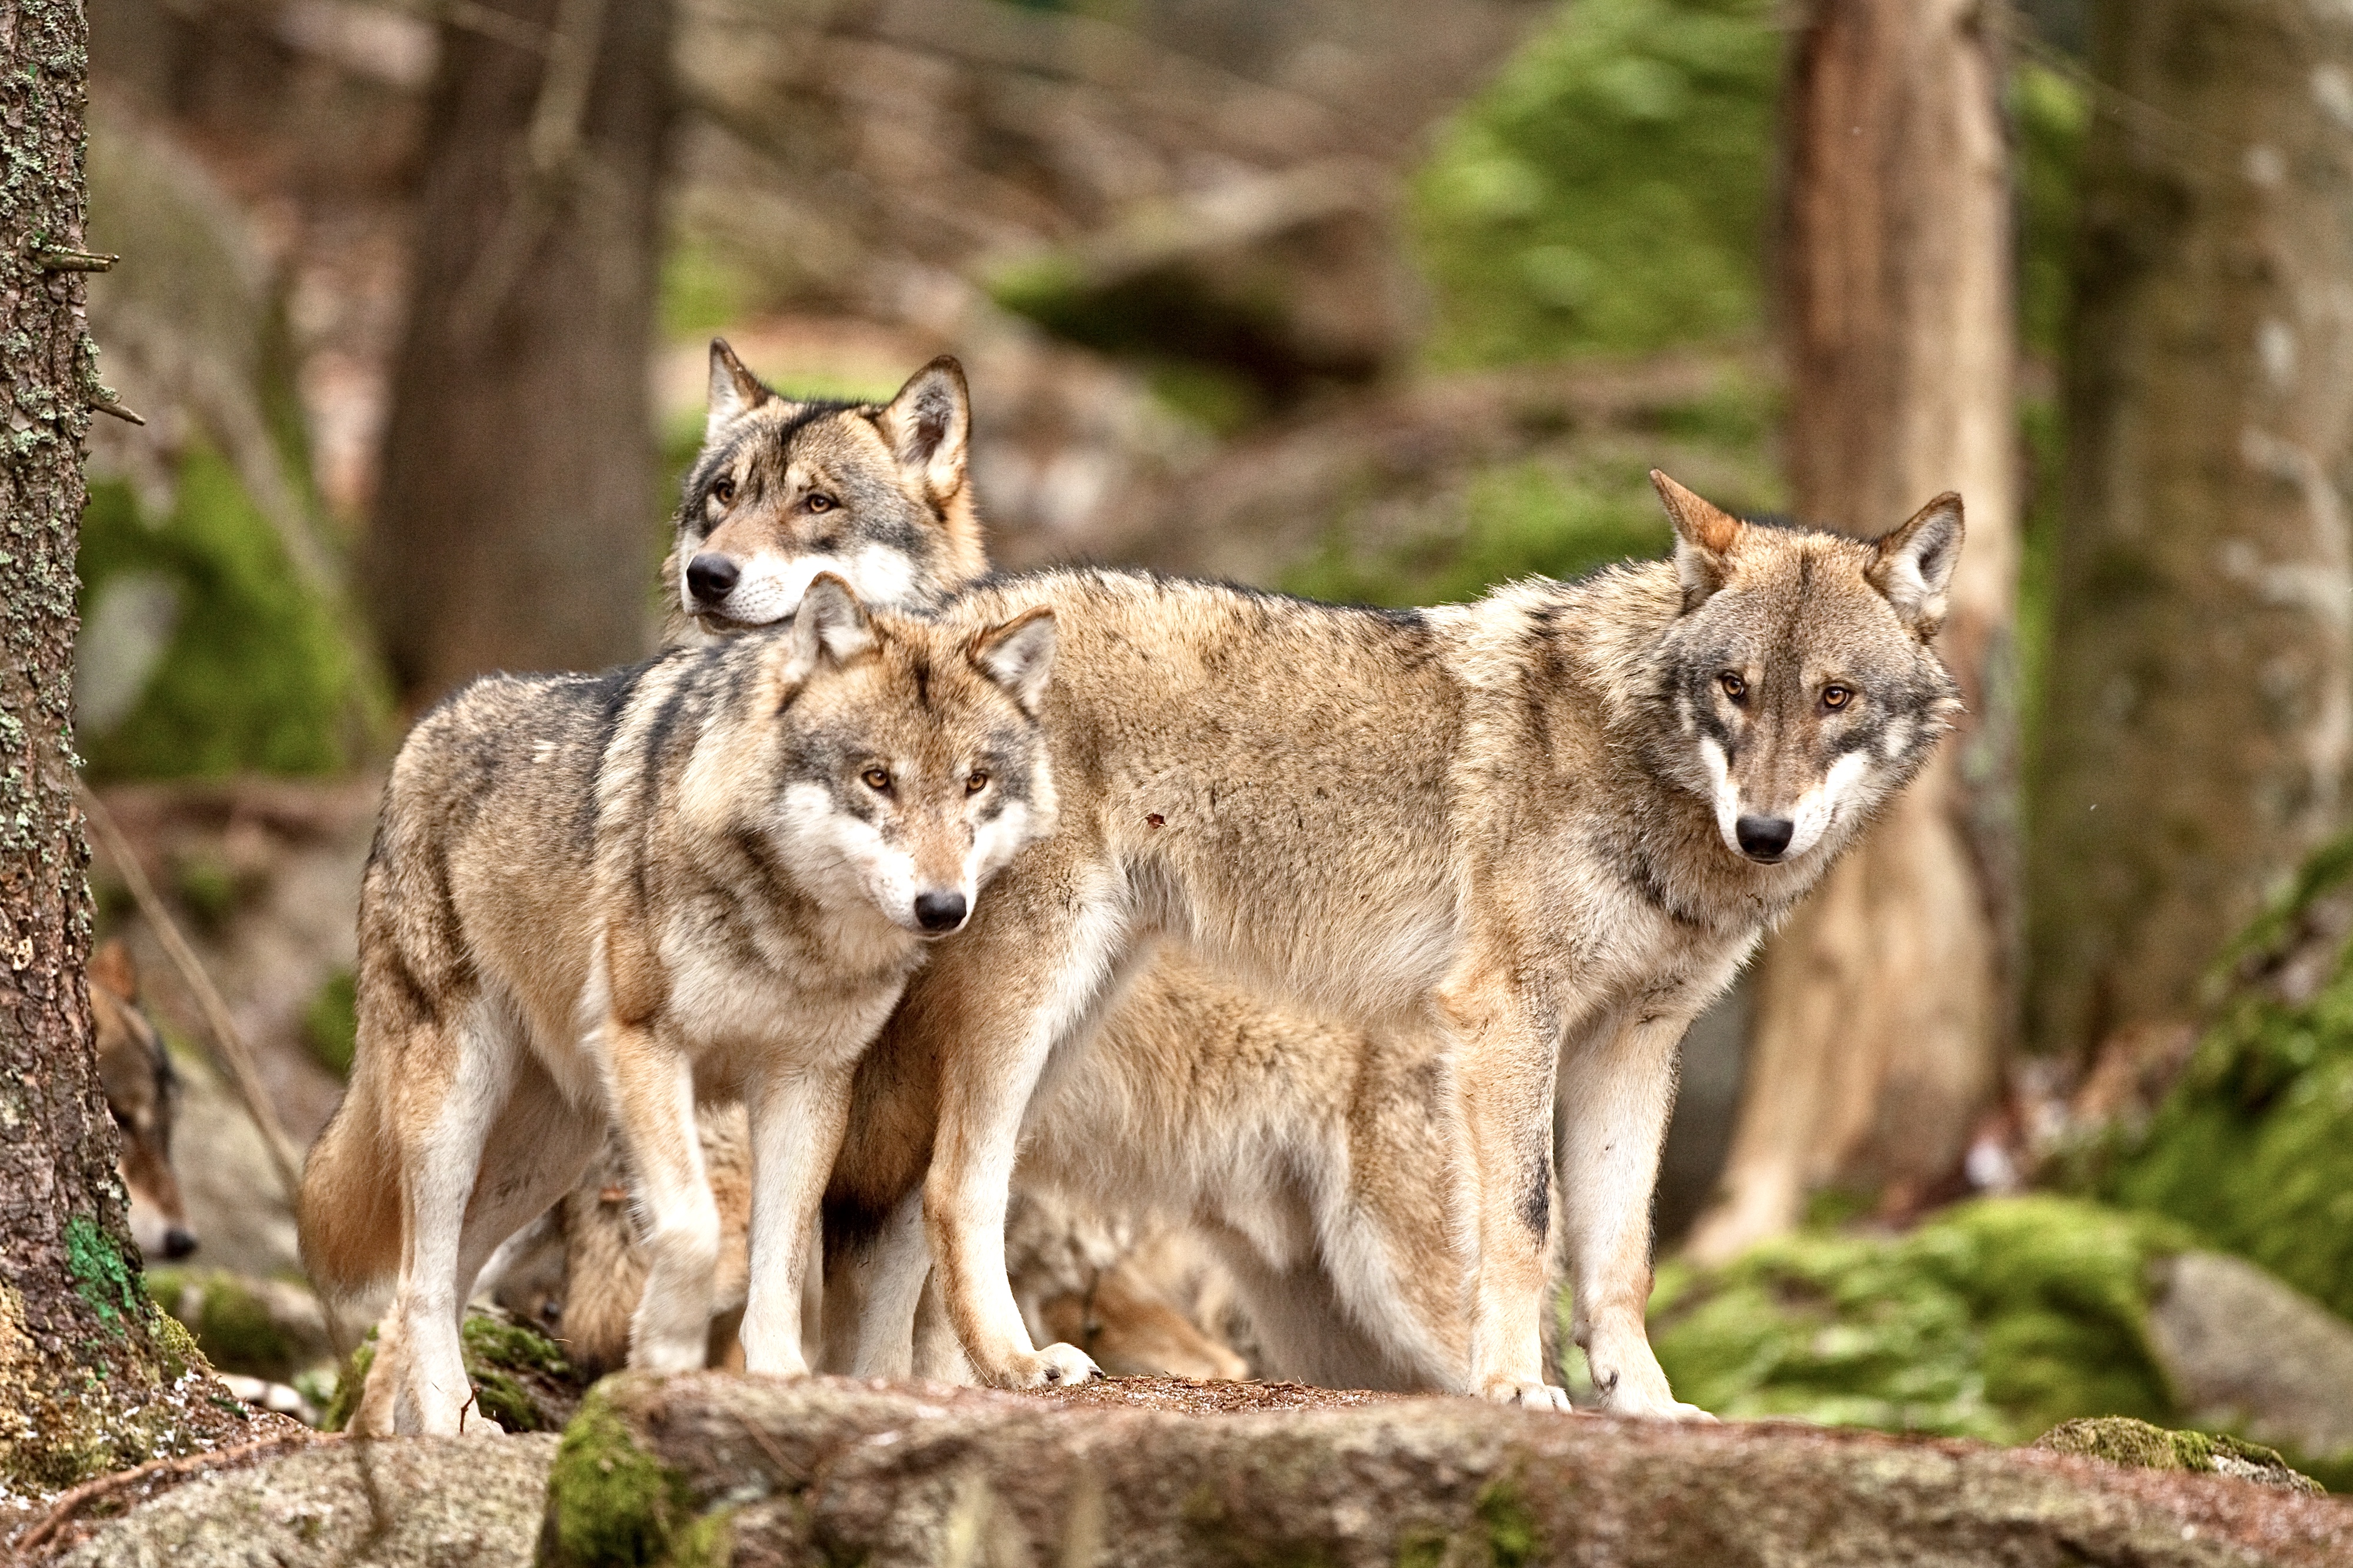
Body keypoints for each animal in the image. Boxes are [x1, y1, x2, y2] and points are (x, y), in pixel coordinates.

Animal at [299, 574, 1064, 1431]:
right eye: (877, 778)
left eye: (975, 781)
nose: (943, 908)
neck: (792, 931)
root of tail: (425, 726)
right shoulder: (649, 1047)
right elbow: (695, 1229)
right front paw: (663, 1350)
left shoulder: (807, 1084)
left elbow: (779, 1264)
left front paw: (779, 1381)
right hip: (455, 1113)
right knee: (421, 1278)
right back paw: (445, 1425)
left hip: (547, 1154)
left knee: (439, 1277)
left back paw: (411, 1426)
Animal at [828, 471, 1967, 1412]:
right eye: (1735, 685)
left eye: (1834, 696)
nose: (1766, 832)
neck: (1640, 772)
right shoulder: (1508, 1014)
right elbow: (1526, 1223)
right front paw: (1515, 1387)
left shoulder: (1634, 1042)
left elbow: (1620, 1261)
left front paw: (1648, 1407)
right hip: (1036, 1003)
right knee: (953, 1188)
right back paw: (1015, 1364)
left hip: (1075, 1028)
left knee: (905, 1208)